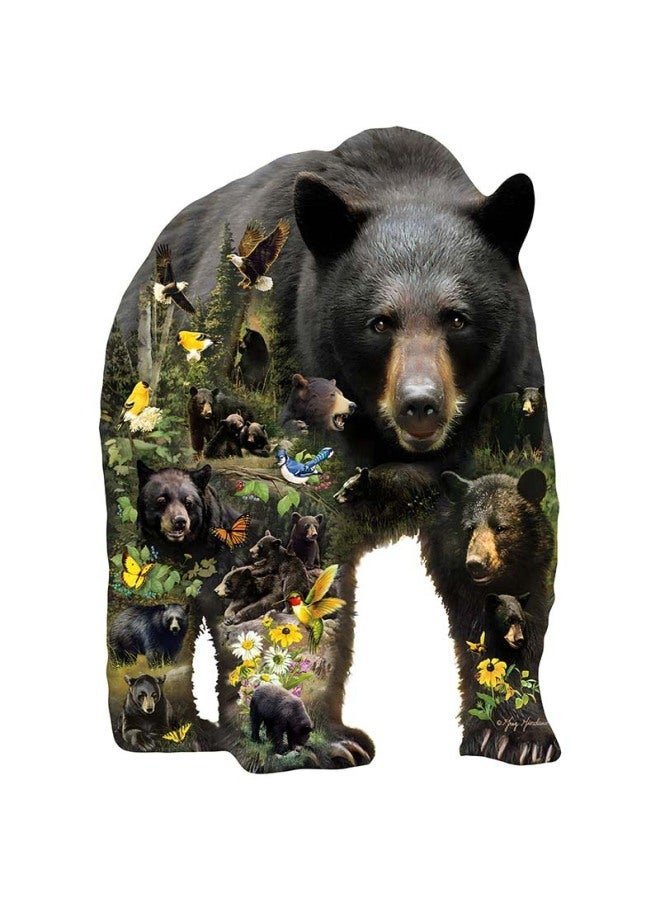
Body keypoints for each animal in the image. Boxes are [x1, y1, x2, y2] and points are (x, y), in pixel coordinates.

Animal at [419, 468, 558, 764]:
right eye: (469, 528)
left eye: (501, 527)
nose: (476, 564)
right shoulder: (462, 593)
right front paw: (497, 736)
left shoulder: (533, 585)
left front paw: (531, 740)